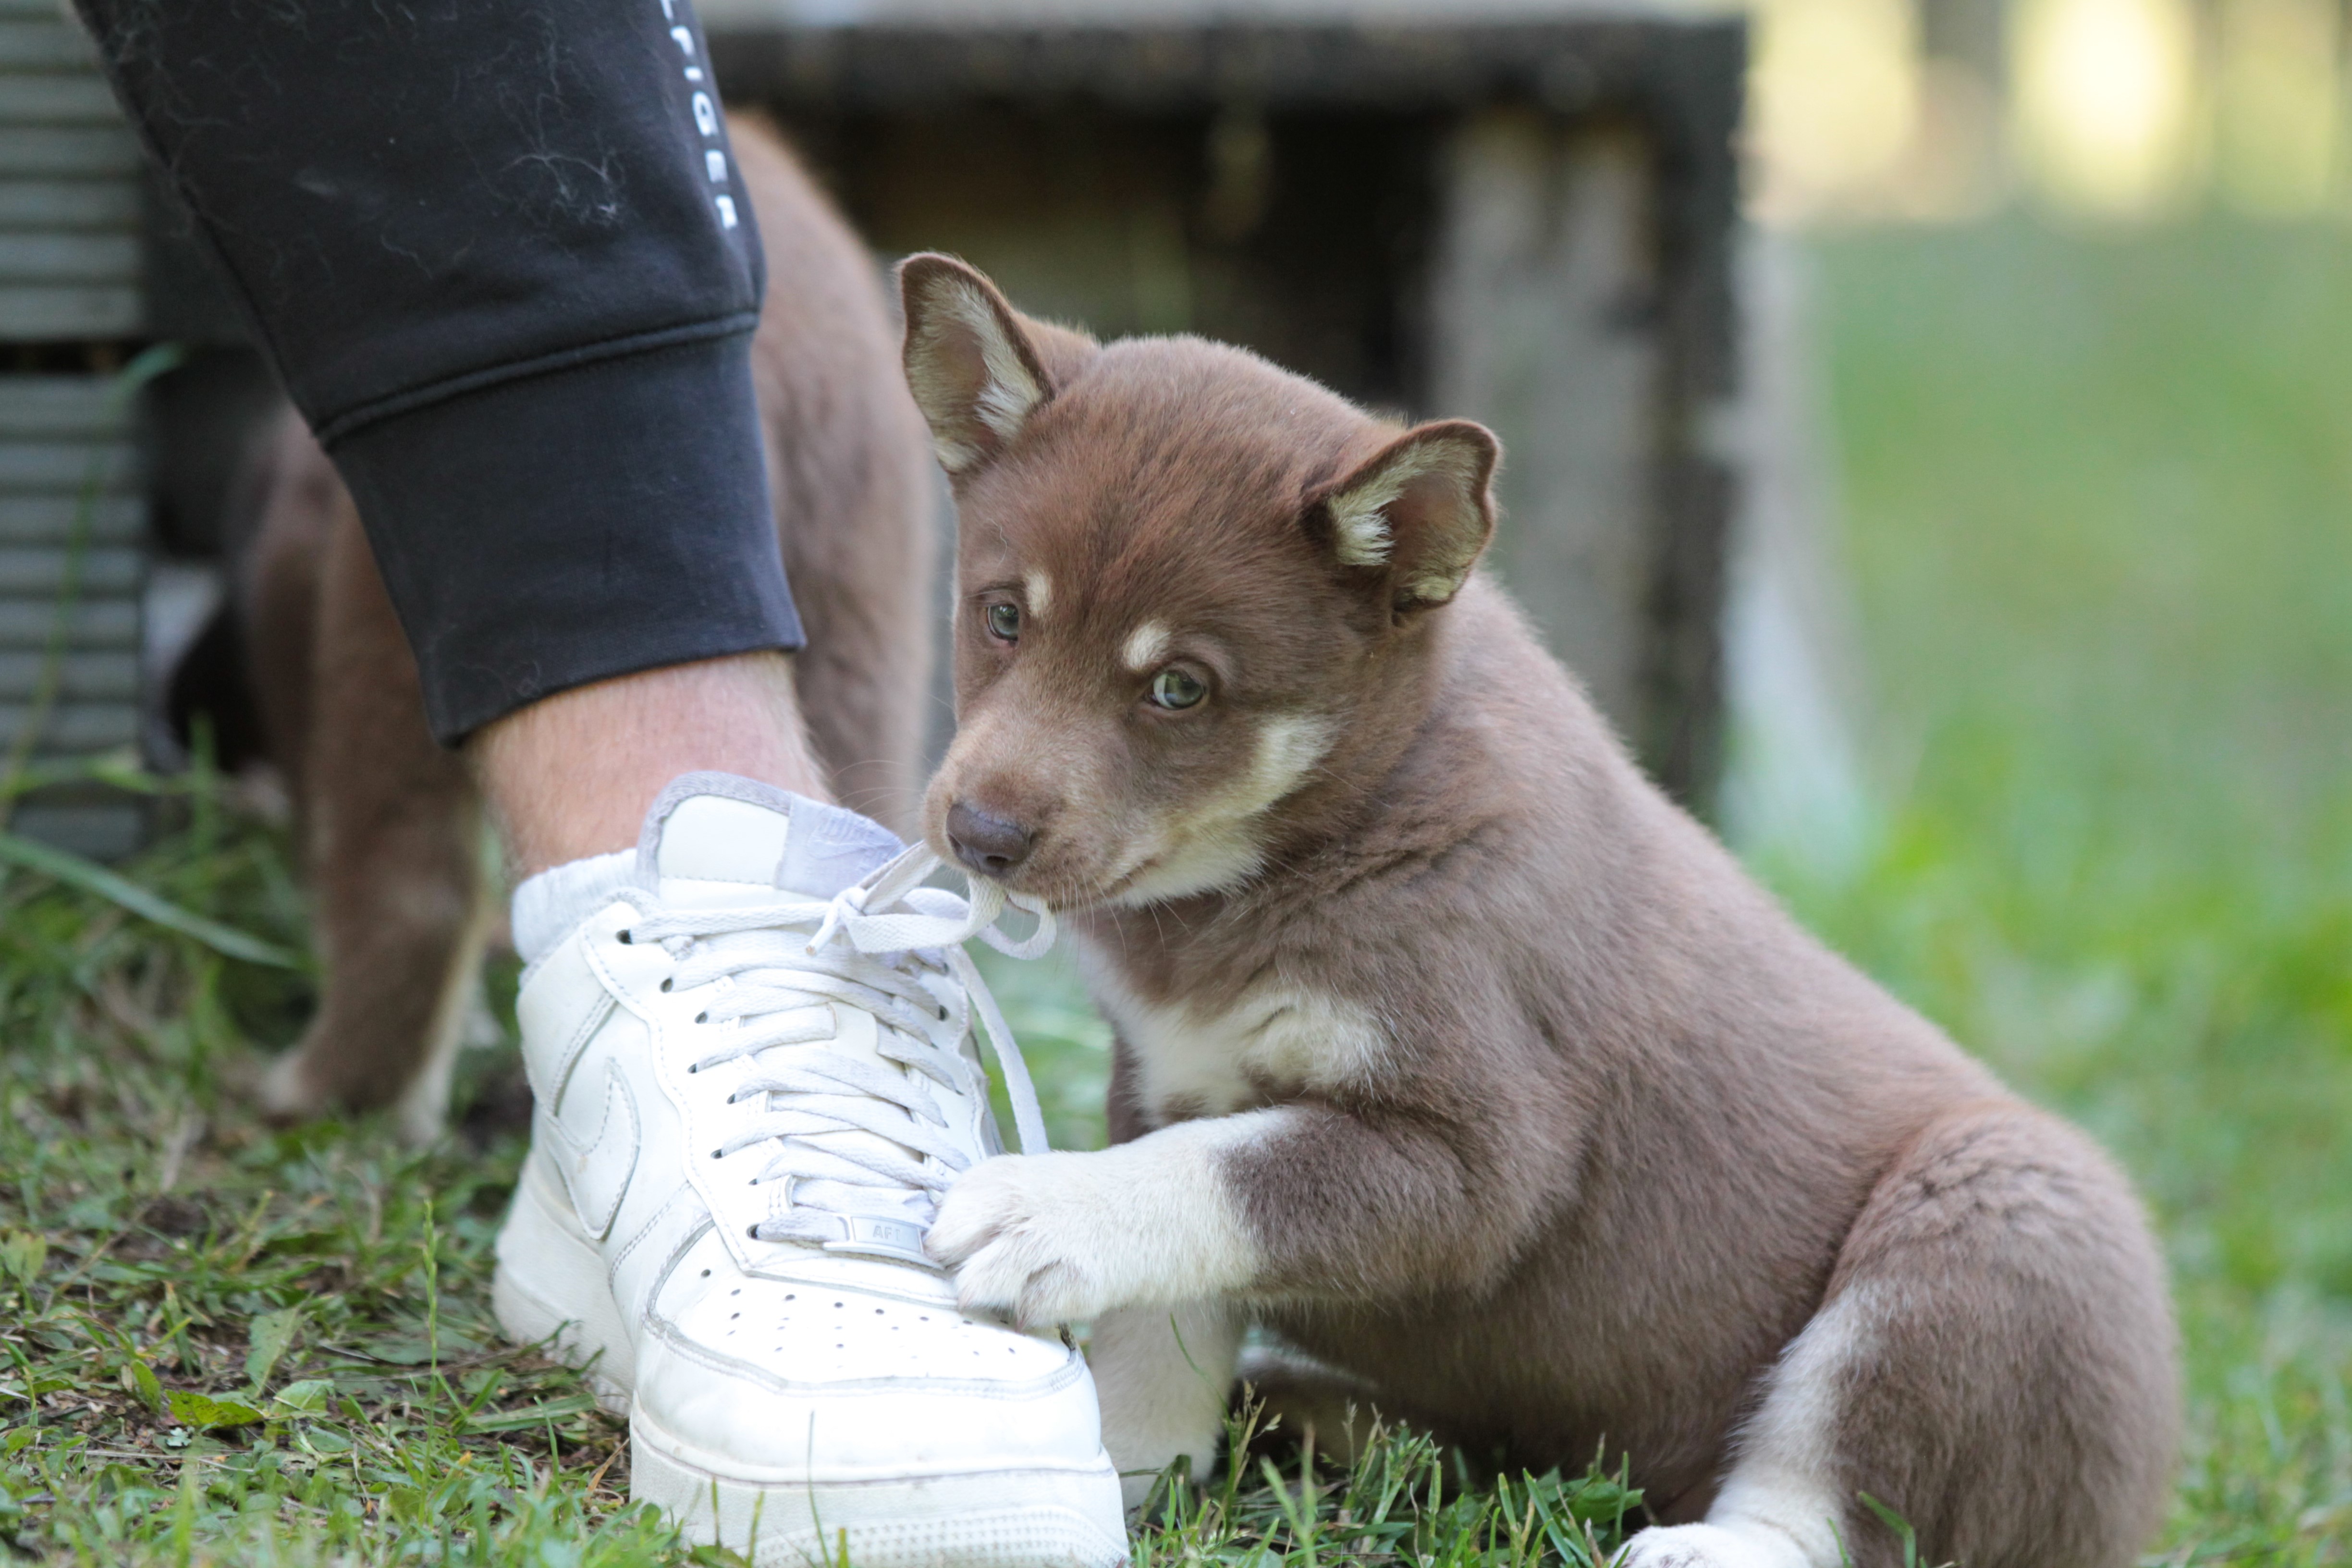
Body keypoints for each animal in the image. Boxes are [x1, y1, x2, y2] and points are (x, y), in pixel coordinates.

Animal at [903, 257, 2182, 1568]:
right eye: (1003, 617)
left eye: (1177, 689)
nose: (980, 834)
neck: (1320, 841)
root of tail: (2144, 1486)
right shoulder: (1168, 1070)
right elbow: (1168, 1309)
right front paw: (1124, 1465)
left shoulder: (1473, 1159)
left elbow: (1213, 1178)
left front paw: (1046, 1209)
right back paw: (1329, 1419)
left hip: (1991, 1229)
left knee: (1834, 1491)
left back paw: (1703, 1545)